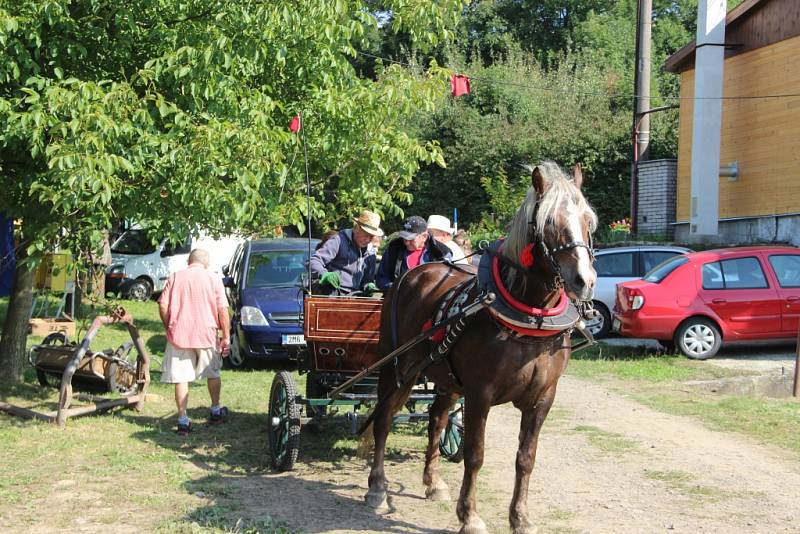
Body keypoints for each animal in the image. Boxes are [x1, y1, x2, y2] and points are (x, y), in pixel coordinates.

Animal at [366, 163, 596, 534]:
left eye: (588, 220)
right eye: (549, 222)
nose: (584, 280)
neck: (530, 319)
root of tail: (414, 274)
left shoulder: (543, 397)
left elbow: (526, 458)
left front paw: (521, 518)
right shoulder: (480, 393)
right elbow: (475, 455)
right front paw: (470, 516)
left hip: (445, 377)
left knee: (437, 419)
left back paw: (433, 482)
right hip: (396, 367)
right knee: (384, 419)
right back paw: (377, 487)